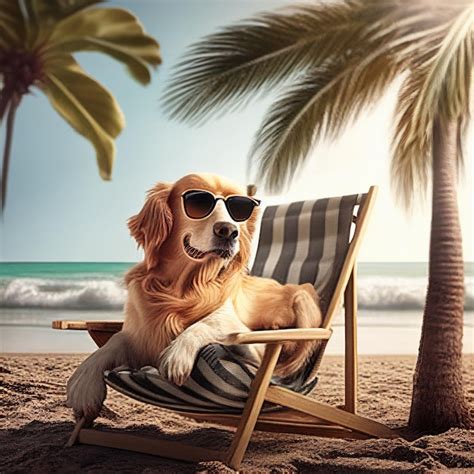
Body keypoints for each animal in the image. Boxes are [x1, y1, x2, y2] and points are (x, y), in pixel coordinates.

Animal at [65, 174, 322, 422]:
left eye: (239, 208)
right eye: (199, 202)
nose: (229, 231)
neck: (183, 289)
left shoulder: (234, 322)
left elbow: (207, 322)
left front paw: (178, 354)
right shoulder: (140, 333)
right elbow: (112, 343)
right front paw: (83, 381)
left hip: (301, 300)